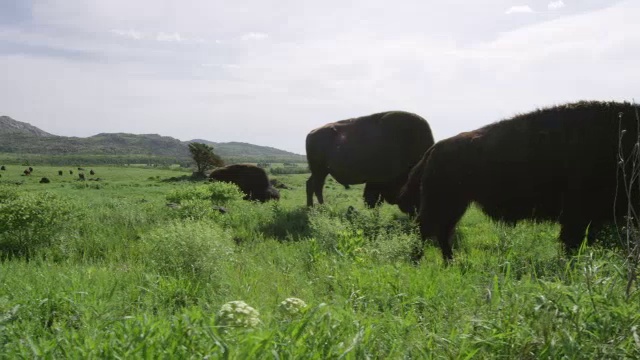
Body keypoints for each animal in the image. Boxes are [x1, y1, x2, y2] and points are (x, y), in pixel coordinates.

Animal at [304, 111, 436, 210]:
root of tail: (311, 133)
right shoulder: (377, 182)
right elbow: (372, 199)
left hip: (320, 171)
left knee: (310, 184)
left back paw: (310, 207)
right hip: (320, 171)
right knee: (317, 187)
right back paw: (323, 207)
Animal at [400, 100, 640, 262]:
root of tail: (435, 149)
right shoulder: (577, 216)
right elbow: (571, 242)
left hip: (456, 204)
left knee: (441, 231)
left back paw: (449, 262)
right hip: (445, 203)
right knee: (426, 228)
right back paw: (417, 261)